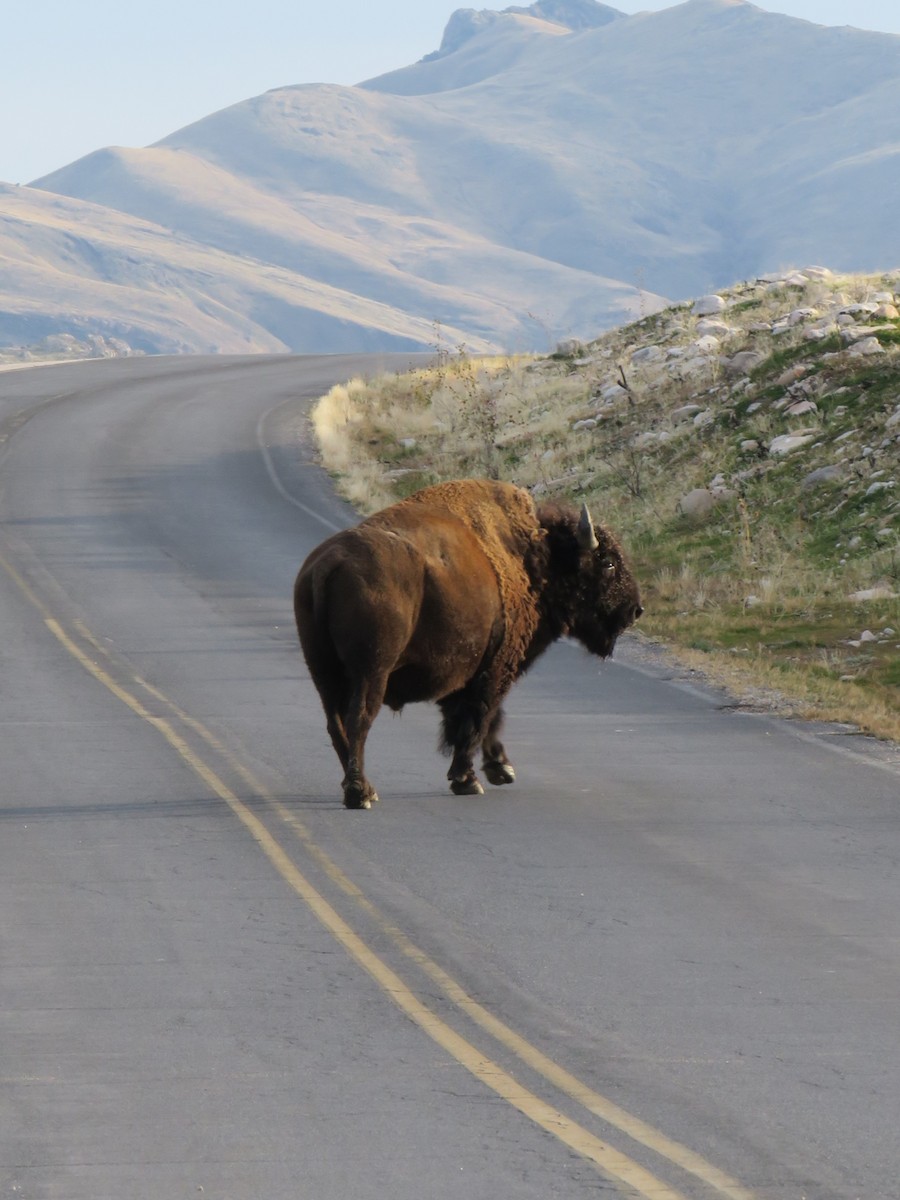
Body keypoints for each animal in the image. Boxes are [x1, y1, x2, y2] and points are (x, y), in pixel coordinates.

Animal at [294, 479, 642, 808]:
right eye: (608, 562)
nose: (635, 609)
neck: (535, 558)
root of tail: (328, 565)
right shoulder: (494, 669)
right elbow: (480, 719)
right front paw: (469, 779)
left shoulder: (464, 673)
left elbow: (481, 719)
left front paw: (499, 768)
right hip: (371, 672)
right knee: (358, 720)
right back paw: (360, 793)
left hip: (323, 670)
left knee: (335, 723)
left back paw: (363, 788)